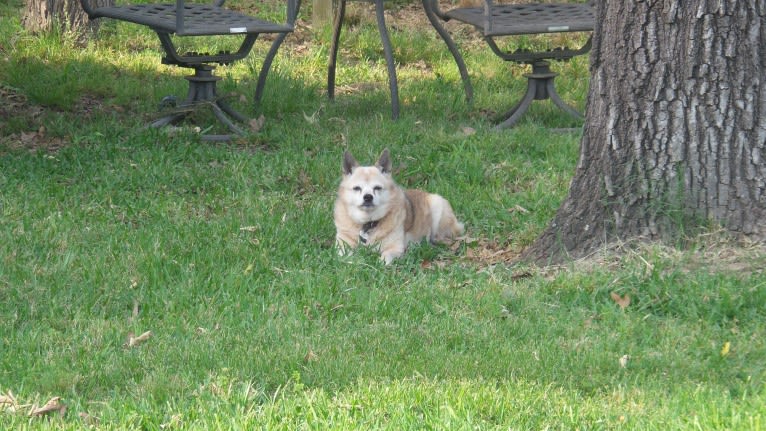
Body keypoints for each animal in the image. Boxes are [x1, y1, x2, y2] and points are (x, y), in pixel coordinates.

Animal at [338, 148, 468, 264]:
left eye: (377, 188)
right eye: (357, 188)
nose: (368, 197)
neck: (367, 223)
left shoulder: (395, 249)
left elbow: (385, 257)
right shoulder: (342, 244)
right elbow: (344, 254)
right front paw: (350, 260)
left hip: (437, 208)